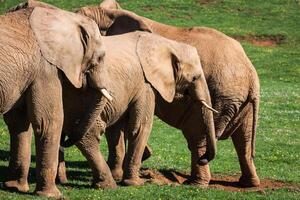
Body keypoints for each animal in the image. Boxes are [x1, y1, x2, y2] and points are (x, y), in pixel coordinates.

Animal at [0, 5, 110, 197]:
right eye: (100, 58)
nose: (65, 141)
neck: (65, 16)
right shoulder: (46, 68)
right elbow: (49, 122)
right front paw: (52, 196)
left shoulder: (27, 72)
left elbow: (19, 123)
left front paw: (15, 188)